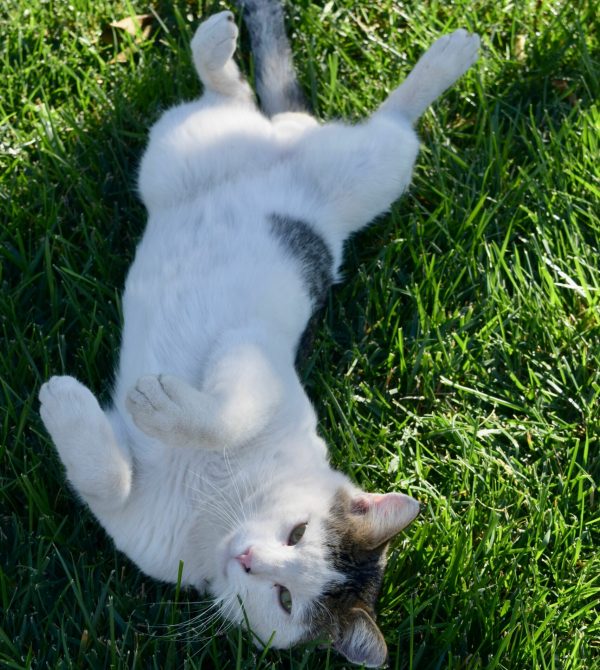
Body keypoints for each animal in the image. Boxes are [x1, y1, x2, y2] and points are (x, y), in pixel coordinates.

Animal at [38, 1, 478, 668]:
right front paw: (151, 406)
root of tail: (285, 133)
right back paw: (447, 55)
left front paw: (65, 401)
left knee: (234, 101)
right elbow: (228, 413)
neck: (221, 512)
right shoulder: (253, 358)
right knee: (388, 121)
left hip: (179, 152)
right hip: (358, 166)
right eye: (297, 531)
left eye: (285, 599)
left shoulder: (132, 516)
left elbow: (110, 478)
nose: (249, 558)